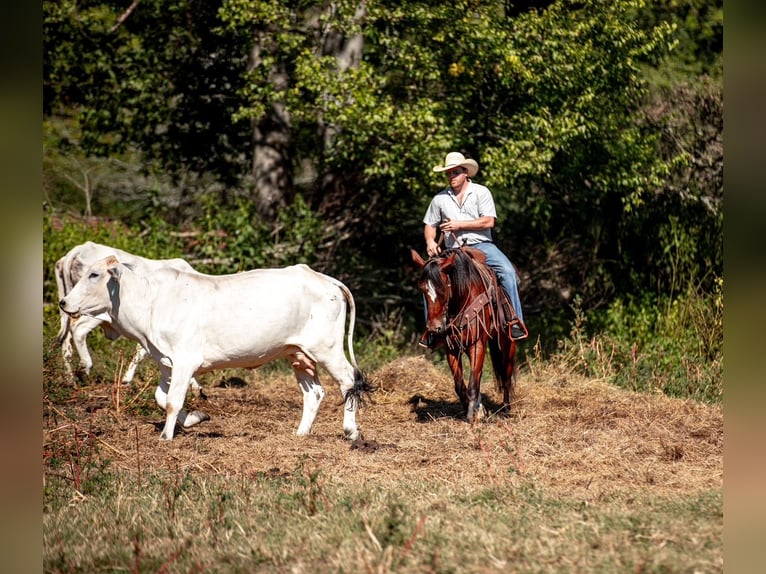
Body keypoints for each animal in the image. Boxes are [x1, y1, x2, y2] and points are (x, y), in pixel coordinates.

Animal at [411, 246, 517, 423]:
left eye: (443, 289)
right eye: (423, 289)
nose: (434, 328)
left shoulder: (477, 345)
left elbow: (473, 384)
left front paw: (472, 416)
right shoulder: (452, 349)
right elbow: (460, 386)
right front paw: (475, 409)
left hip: (508, 345)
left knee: (506, 376)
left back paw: (506, 409)